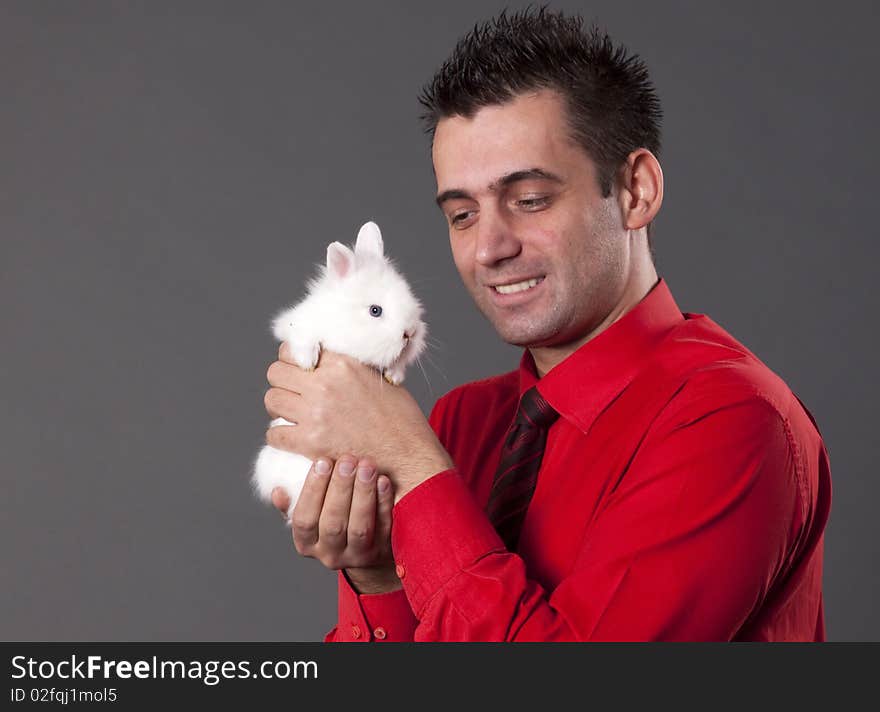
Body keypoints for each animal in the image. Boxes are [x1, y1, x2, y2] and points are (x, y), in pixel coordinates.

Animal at [249, 222, 428, 516]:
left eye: (410, 296)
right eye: (375, 310)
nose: (409, 333)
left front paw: (394, 375)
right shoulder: (296, 326)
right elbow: (304, 340)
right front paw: (308, 363)